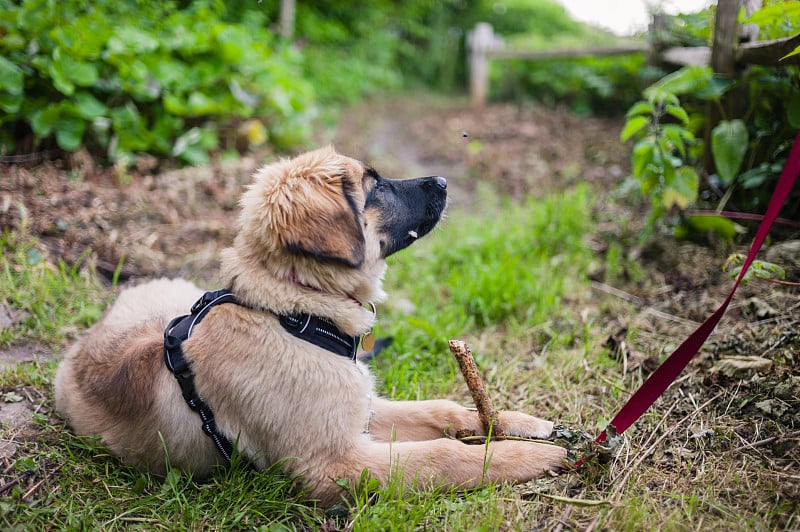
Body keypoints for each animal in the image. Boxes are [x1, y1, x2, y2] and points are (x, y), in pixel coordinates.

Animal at [53, 147, 564, 508]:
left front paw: (522, 424)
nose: (441, 180)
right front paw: (531, 458)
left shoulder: (359, 414)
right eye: (375, 188)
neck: (294, 314)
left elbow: (444, 410)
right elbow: (444, 456)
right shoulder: (336, 462)